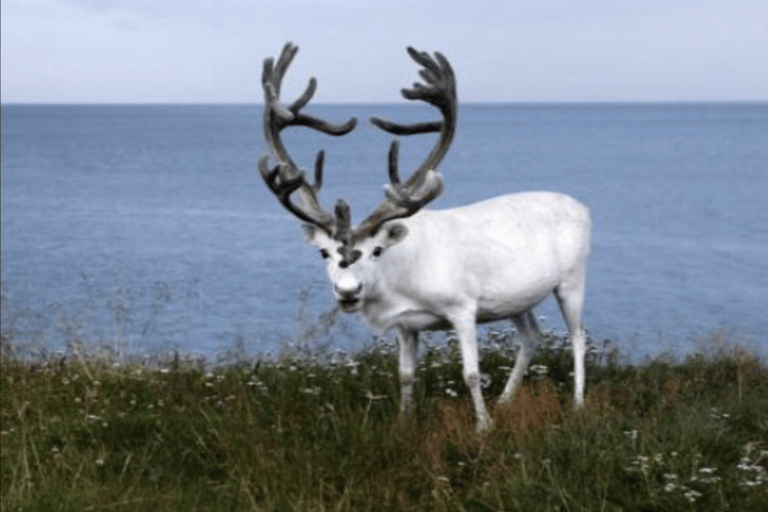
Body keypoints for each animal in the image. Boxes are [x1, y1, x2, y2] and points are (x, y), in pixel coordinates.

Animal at [258, 42, 591, 432]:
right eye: (324, 253)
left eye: (377, 250)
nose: (348, 291)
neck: (402, 283)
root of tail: (584, 207)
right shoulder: (405, 325)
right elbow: (405, 375)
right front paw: (403, 422)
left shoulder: (463, 307)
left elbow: (471, 374)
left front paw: (483, 426)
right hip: (515, 299)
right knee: (531, 336)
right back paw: (506, 400)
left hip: (572, 278)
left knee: (578, 336)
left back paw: (577, 403)